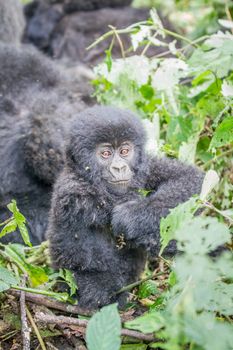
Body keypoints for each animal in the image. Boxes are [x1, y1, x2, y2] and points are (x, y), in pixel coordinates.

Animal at [47, 105, 204, 308]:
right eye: (105, 154)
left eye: (124, 151)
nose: (120, 168)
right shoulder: (74, 192)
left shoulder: (147, 166)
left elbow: (191, 179)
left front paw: (131, 217)